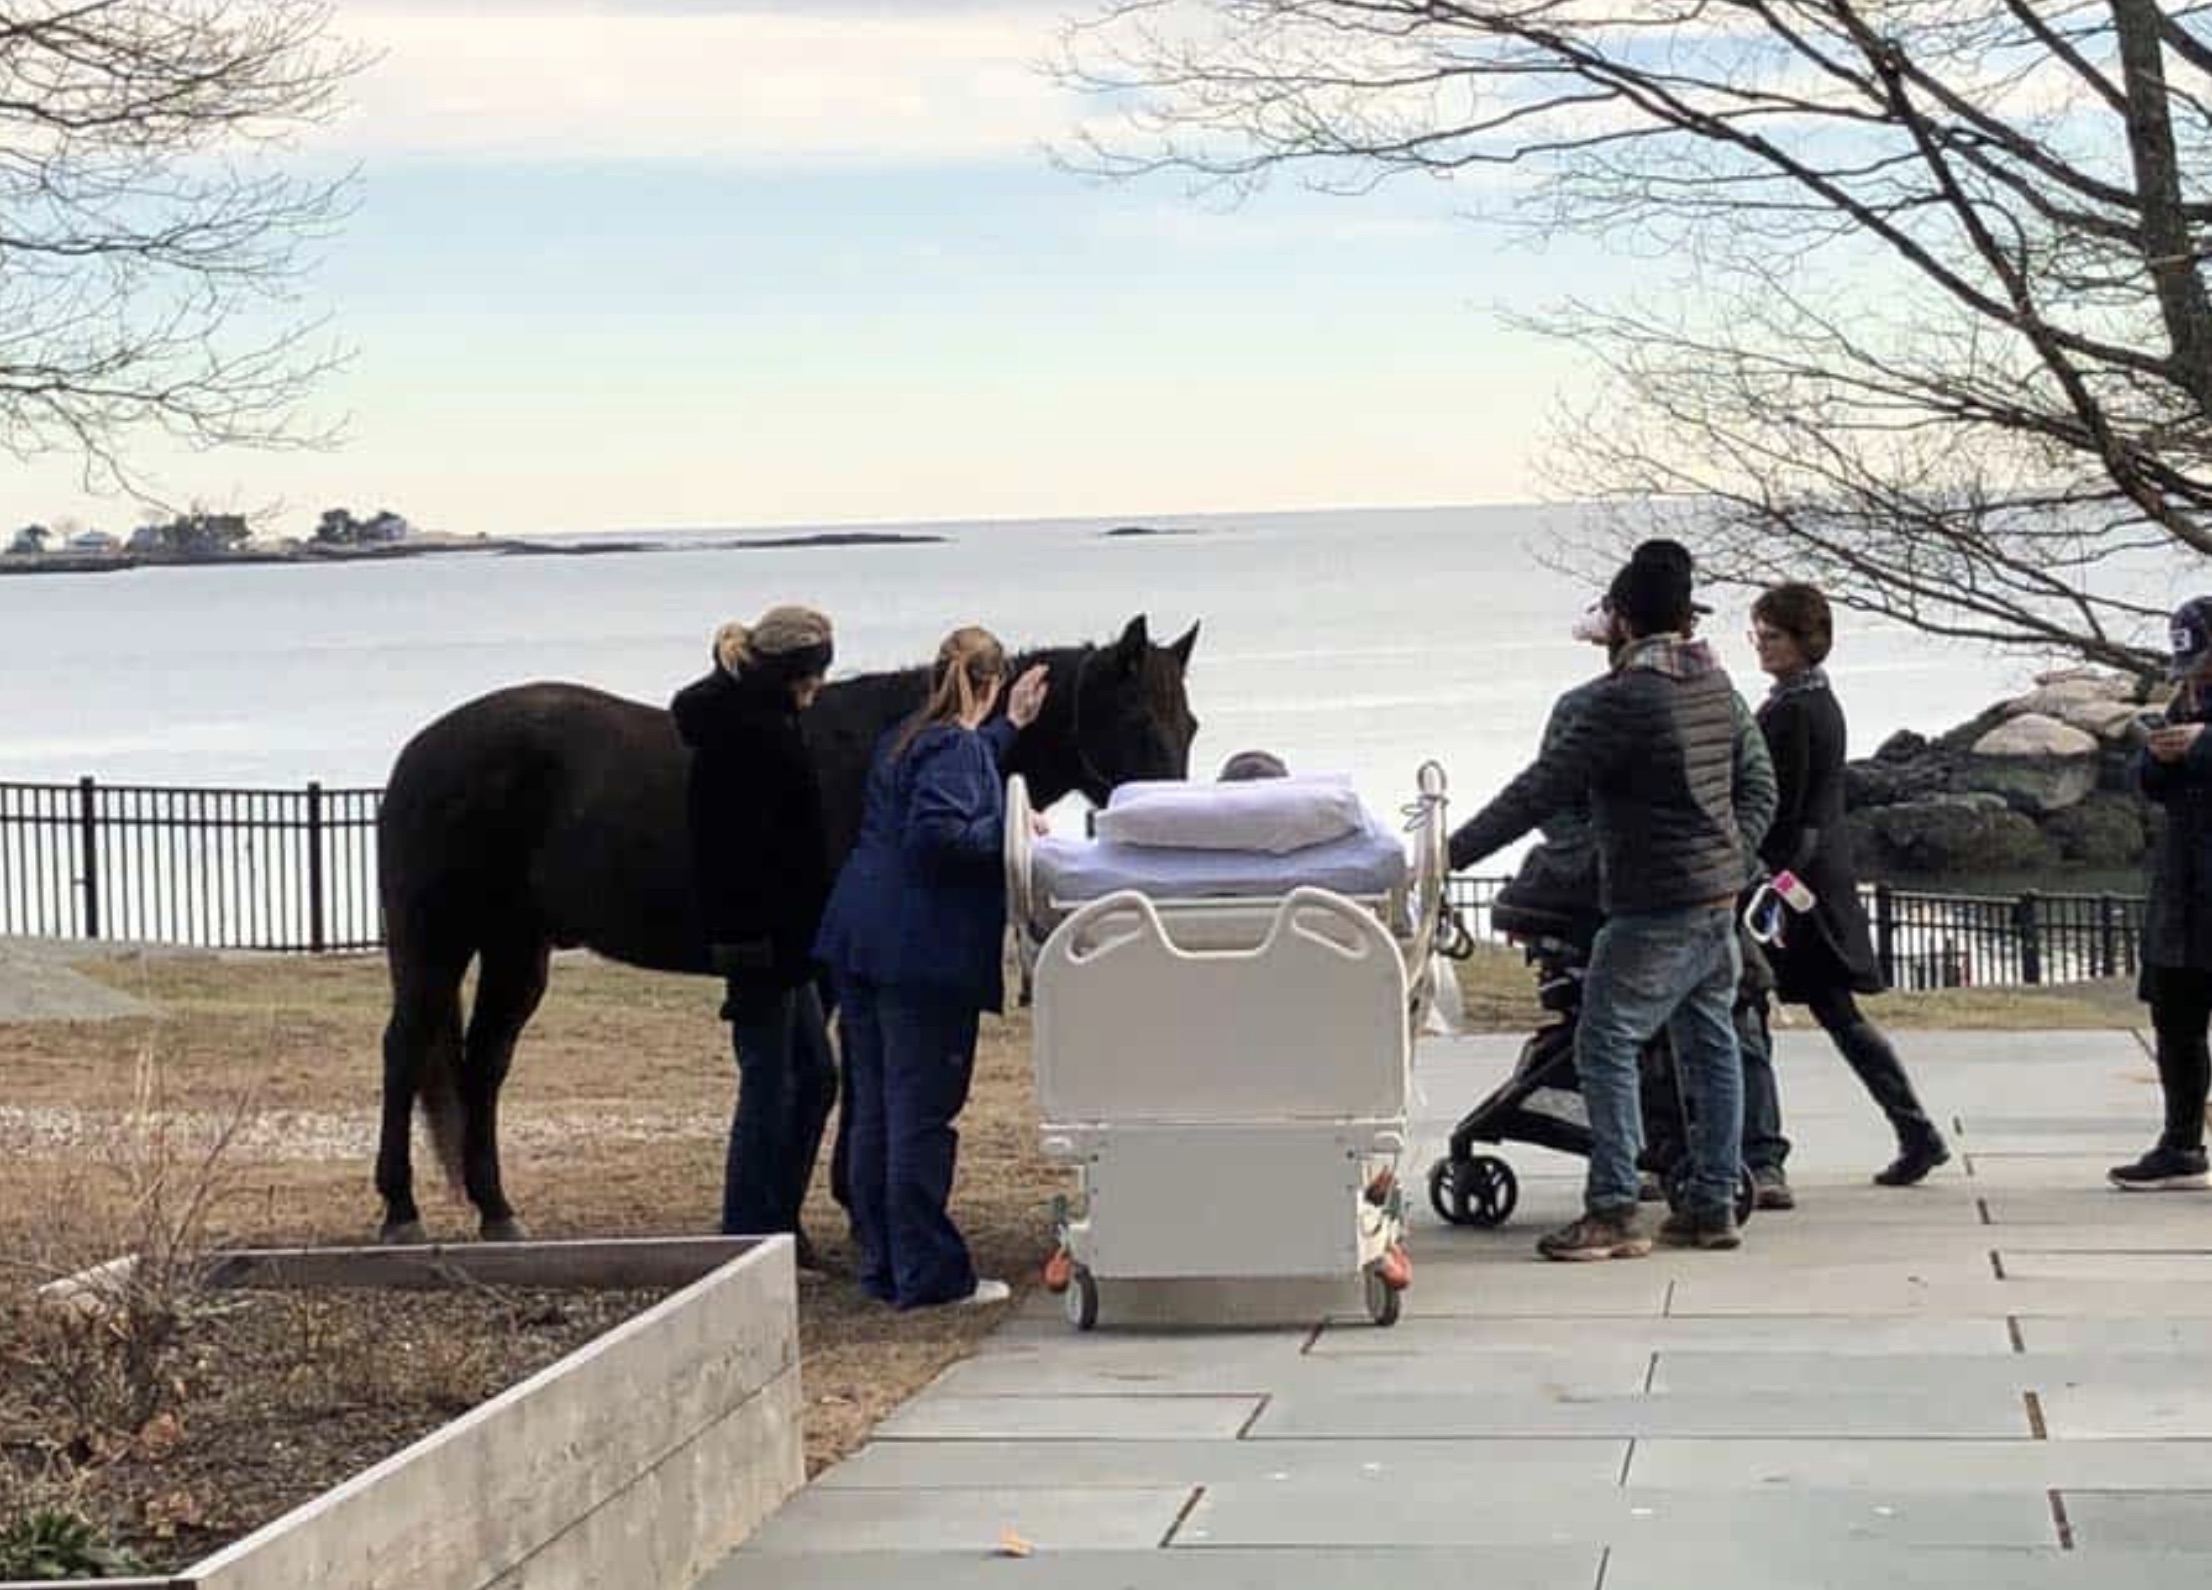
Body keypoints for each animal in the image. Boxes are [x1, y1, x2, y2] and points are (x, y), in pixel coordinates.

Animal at [373, 614, 1203, 1247]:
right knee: (405, 1050)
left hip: (517, 948)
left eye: (1188, 722)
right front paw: (847, 1211)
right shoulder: (834, 973)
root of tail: (424, 749)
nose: (1167, 817)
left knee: (484, 1065)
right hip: (436, 943)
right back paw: (401, 1211)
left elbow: (833, 1086)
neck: (877, 750)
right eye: (1135, 718)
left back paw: (496, 1210)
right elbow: (847, 1083)